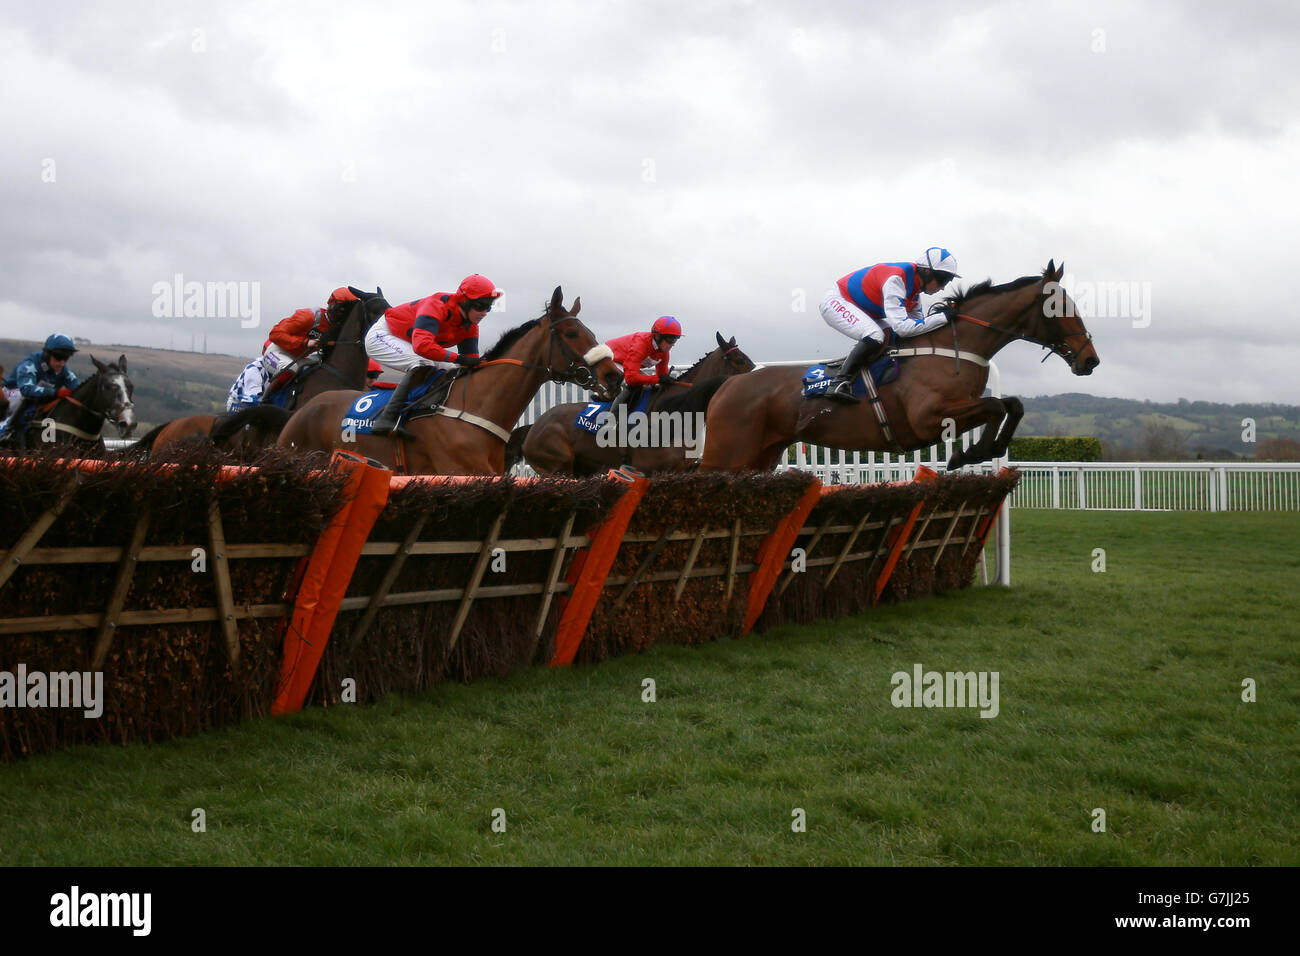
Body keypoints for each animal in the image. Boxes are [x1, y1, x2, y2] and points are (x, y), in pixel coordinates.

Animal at [275, 287, 624, 476]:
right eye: (572, 333)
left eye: (591, 332)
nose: (614, 375)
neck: (475, 407)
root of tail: (307, 407)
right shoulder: (459, 471)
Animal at [702, 260, 1097, 473]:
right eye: (1058, 307)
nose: (1090, 359)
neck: (951, 348)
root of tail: (729, 383)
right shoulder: (928, 418)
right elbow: (997, 406)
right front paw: (971, 453)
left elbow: (1012, 405)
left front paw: (985, 450)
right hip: (727, 453)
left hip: (761, 456)